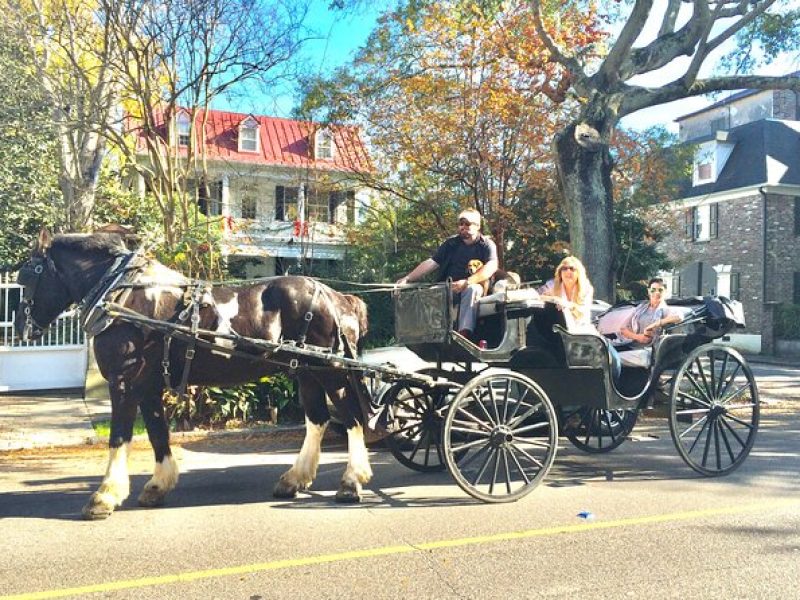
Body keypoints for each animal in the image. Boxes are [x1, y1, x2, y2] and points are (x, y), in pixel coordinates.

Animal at [14, 230, 374, 520]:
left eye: (26, 278)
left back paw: (351, 481)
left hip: (330, 372)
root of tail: (337, 297)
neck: (122, 296)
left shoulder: (124, 381)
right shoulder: (148, 385)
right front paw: (157, 486)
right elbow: (158, 433)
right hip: (306, 372)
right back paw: (294, 480)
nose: (20, 330)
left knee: (352, 416)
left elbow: (118, 437)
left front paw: (104, 497)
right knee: (318, 420)